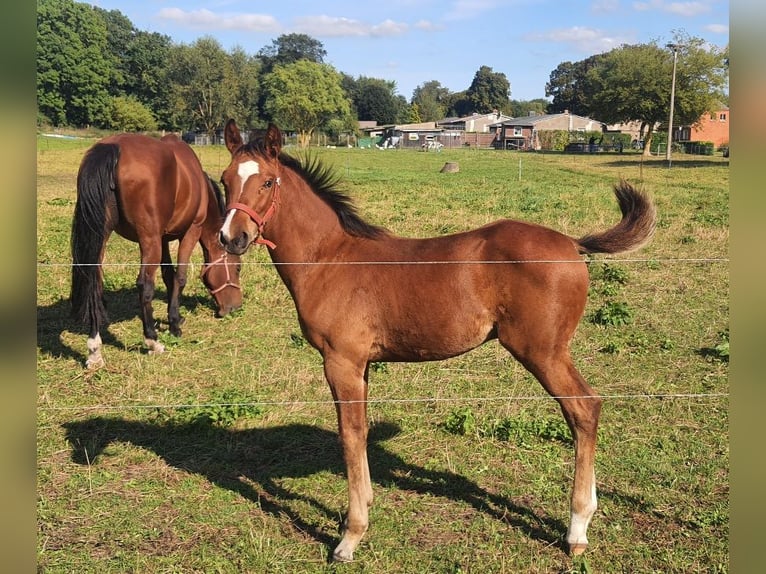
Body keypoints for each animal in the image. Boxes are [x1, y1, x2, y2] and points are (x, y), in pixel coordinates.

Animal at [71, 134, 243, 368]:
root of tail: (112, 147)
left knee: (93, 284)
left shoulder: (163, 239)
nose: (235, 306)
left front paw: (175, 317)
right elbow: (179, 277)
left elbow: (168, 275)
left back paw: (94, 351)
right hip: (148, 239)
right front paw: (174, 325)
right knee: (144, 284)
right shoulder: (191, 231)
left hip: (102, 235)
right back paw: (152, 341)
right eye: (237, 268)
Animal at [218, 119, 660, 564]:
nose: (231, 238)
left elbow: (350, 435)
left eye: (267, 181)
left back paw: (577, 528)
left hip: (543, 351)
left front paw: (350, 536)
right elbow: (361, 432)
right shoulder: (362, 365)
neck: (329, 259)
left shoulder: (341, 361)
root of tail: (572, 243)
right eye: (224, 180)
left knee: (584, 409)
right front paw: (365, 507)